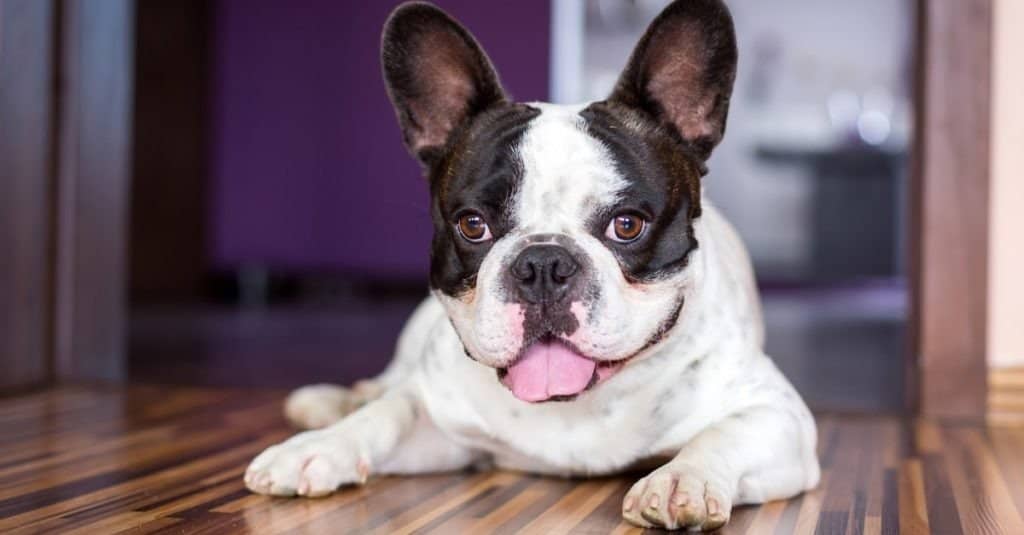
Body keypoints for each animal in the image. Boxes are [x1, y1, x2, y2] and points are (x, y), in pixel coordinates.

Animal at [243, 1, 819, 528]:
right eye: (472, 225)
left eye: (627, 225)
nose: (543, 263)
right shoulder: (441, 421)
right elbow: (392, 414)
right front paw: (319, 447)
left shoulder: (780, 417)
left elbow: (726, 432)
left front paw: (683, 479)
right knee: (387, 386)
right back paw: (334, 402)